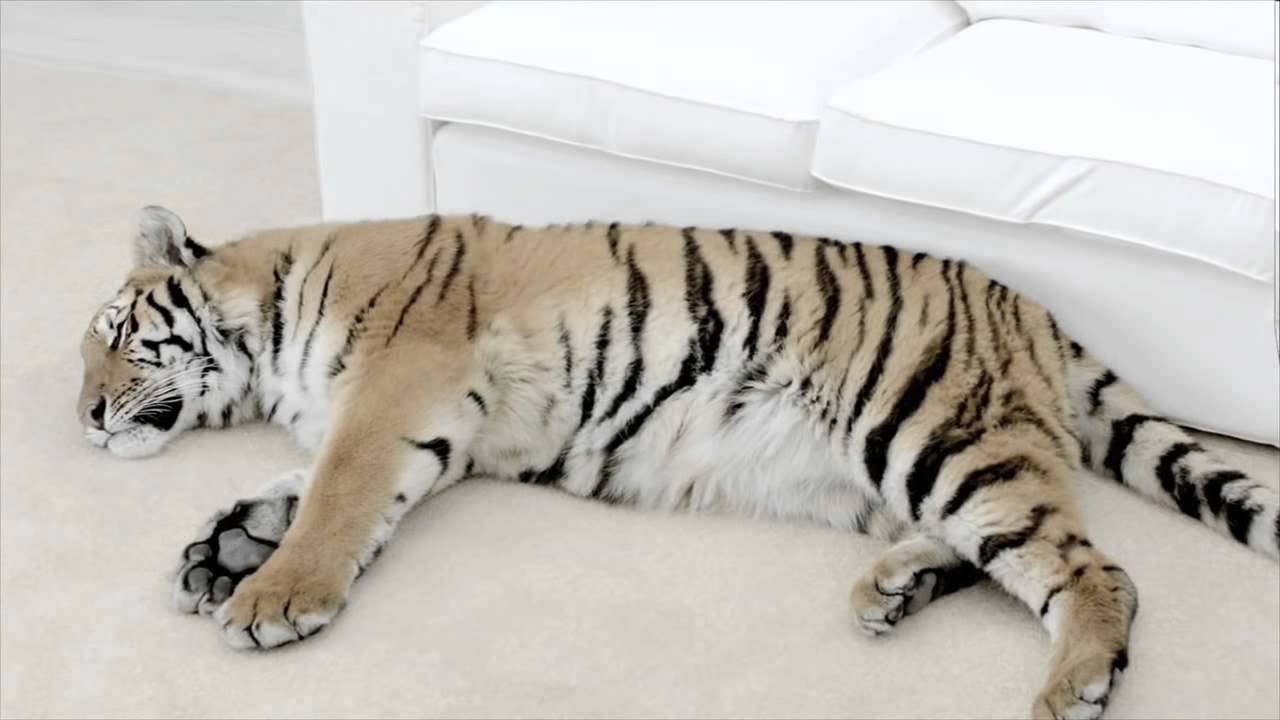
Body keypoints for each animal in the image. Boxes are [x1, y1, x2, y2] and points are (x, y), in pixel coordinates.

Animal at [78, 205, 1279, 720]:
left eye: (115, 332)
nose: (84, 417)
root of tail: (1032, 309)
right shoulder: (433, 429)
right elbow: (303, 488)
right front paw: (223, 545)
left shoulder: (398, 385)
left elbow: (335, 493)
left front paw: (270, 596)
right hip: (889, 470)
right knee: (995, 548)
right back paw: (892, 588)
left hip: (931, 423)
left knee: (1092, 567)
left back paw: (1076, 685)